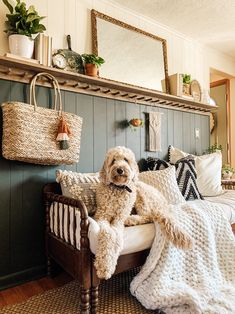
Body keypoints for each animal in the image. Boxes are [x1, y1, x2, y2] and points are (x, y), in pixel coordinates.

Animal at [94, 146, 192, 278]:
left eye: (126, 160)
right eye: (113, 161)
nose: (120, 169)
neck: (118, 188)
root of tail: (164, 203)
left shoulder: (119, 219)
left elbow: (116, 236)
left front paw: (107, 266)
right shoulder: (102, 216)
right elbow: (107, 235)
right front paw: (104, 266)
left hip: (141, 195)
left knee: (148, 216)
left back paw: (130, 219)